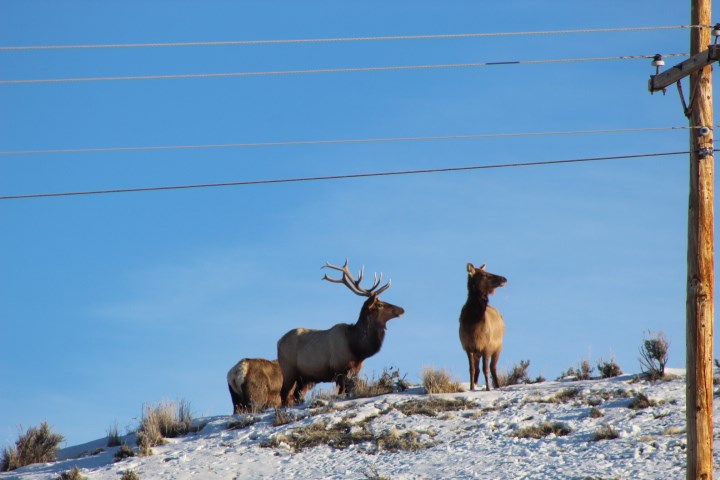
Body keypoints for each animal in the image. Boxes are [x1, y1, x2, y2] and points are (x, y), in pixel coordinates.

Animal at [277, 260, 405, 406]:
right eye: (380, 305)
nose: (402, 309)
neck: (357, 348)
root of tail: (278, 342)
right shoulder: (339, 369)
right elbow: (342, 393)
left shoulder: (355, 370)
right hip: (288, 369)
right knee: (284, 394)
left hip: (304, 378)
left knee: (296, 395)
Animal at [459, 262, 507, 391]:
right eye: (484, 275)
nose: (504, 279)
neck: (473, 324)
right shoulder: (468, 347)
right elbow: (472, 369)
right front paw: (471, 388)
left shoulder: (487, 346)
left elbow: (486, 369)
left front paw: (488, 389)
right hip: (479, 353)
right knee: (479, 369)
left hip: (498, 347)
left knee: (493, 368)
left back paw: (497, 386)